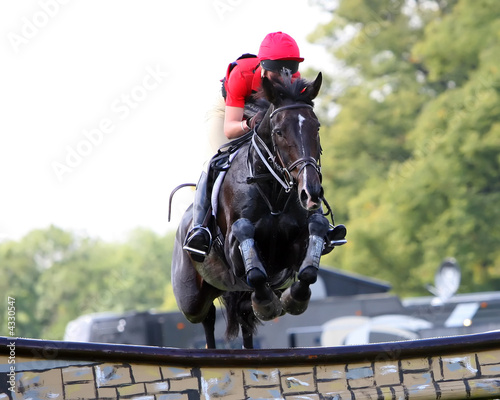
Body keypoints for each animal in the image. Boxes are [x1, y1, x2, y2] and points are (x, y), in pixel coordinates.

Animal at [173, 72, 340, 346]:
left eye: (316, 127)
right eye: (279, 131)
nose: (311, 192)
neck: (272, 190)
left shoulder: (291, 254)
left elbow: (309, 260)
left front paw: (290, 300)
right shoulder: (232, 250)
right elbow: (247, 242)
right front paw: (268, 304)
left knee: (243, 315)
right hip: (191, 298)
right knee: (207, 317)